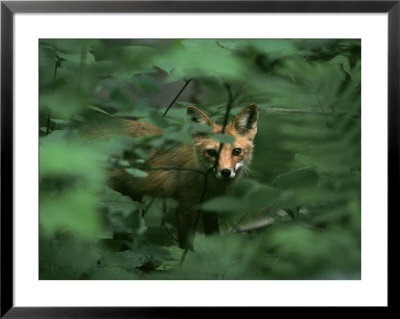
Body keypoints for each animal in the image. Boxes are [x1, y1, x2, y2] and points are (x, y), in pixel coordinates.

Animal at [108, 104, 258, 249]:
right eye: (212, 152)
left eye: (236, 151)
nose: (225, 172)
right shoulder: (185, 209)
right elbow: (186, 246)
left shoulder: (211, 208)